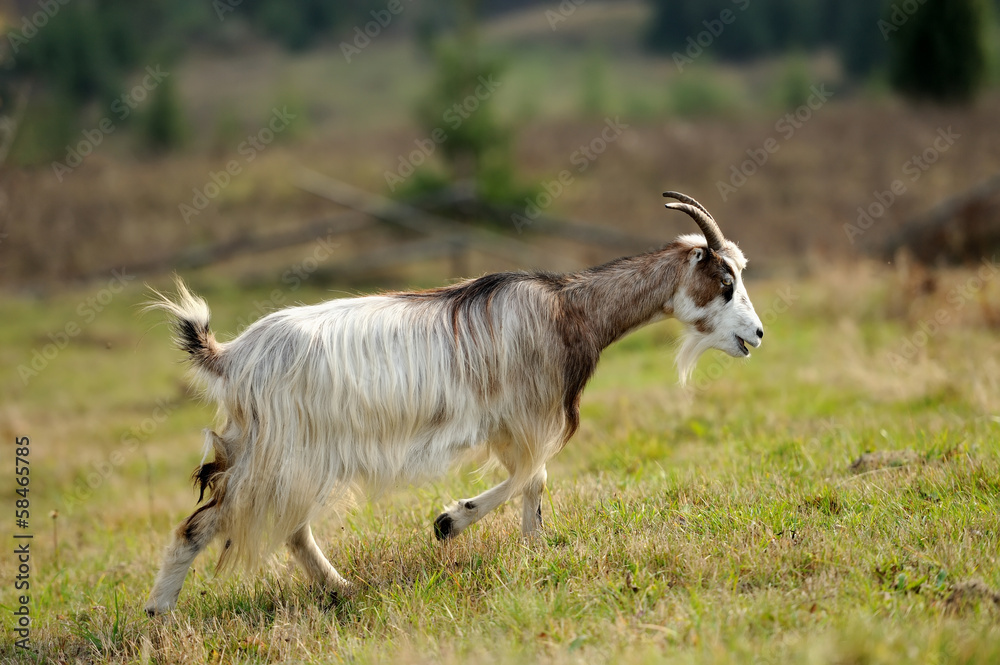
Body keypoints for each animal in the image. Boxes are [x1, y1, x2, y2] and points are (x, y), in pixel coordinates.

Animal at [143, 191, 764, 612]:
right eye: (726, 281)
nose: (756, 335)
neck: (568, 310)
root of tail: (232, 356)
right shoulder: (523, 414)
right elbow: (531, 475)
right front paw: (450, 521)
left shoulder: (514, 422)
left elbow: (534, 481)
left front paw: (532, 546)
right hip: (279, 456)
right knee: (203, 525)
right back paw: (157, 613)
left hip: (289, 457)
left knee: (290, 530)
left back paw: (343, 590)